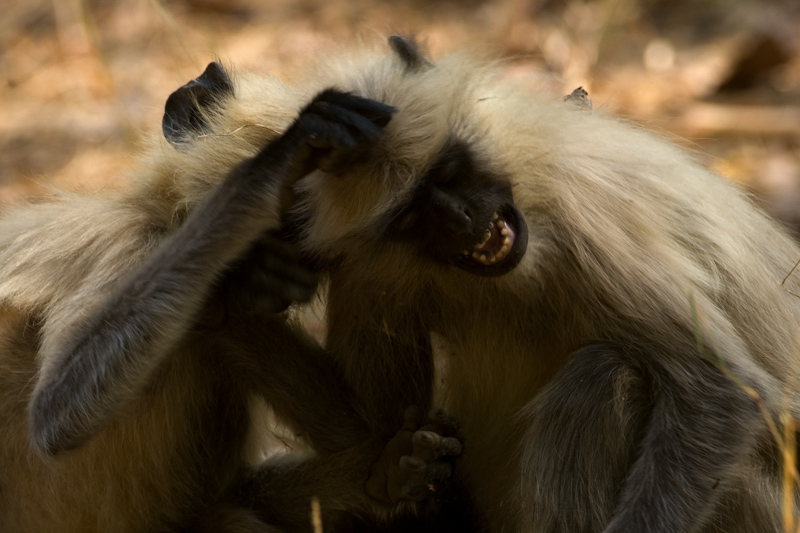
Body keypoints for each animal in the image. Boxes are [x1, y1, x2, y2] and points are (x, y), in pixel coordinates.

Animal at [0, 53, 460, 528]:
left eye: (310, 242)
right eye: (282, 222)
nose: (292, 270)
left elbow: (364, 426)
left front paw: (388, 470)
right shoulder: (125, 243)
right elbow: (56, 418)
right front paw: (265, 174)